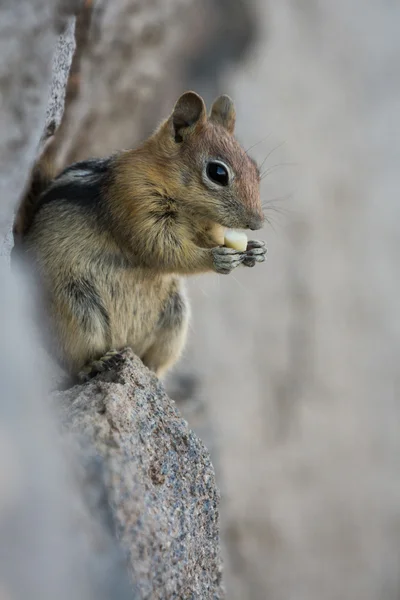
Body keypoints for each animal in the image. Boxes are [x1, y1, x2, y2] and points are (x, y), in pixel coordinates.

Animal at [13, 91, 266, 382]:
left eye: (255, 168)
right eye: (218, 173)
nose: (257, 223)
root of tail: (126, 343)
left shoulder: (203, 227)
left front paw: (254, 250)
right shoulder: (135, 202)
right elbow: (163, 250)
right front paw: (217, 259)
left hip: (175, 317)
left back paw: (152, 374)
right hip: (77, 309)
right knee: (74, 363)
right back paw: (96, 363)